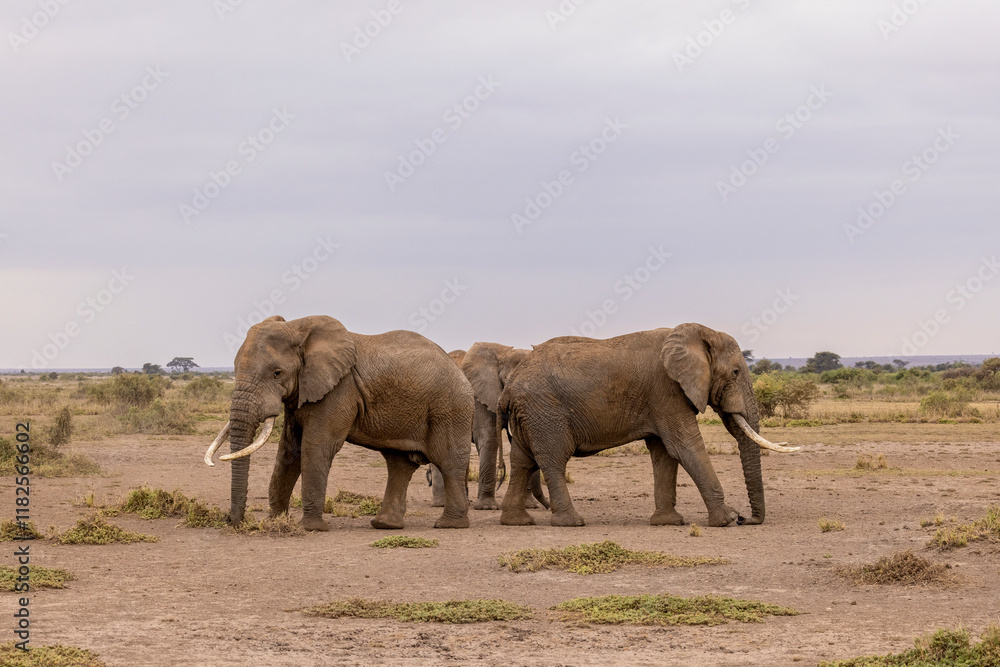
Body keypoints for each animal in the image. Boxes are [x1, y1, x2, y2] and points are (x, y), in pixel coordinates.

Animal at [204, 315, 472, 531]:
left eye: (277, 373)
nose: (233, 522)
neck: (298, 328)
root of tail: (458, 370)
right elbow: (289, 450)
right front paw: (275, 522)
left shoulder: (340, 389)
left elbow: (315, 447)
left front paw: (311, 528)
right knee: (399, 464)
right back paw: (384, 525)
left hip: (450, 407)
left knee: (448, 460)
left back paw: (449, 524)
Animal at [427, 345, 548, 510]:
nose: (549, 507)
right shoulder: (480, 398)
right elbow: (490, 440)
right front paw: (487, 507)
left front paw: (529, 506)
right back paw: (441, 504)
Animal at [498, 323, 798, 528]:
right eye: (735, 372)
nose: (746, 518)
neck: (697, 333)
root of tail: (510, 386)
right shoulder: (667, 390)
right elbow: (685, 447)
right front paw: (725, 519)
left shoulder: (660, 400)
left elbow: (664, 453)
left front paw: (668, 522)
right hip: (545, 411)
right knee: (553, 459)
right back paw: (572, 522)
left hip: (530, 414)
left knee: (523, 461)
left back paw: (517, 522)